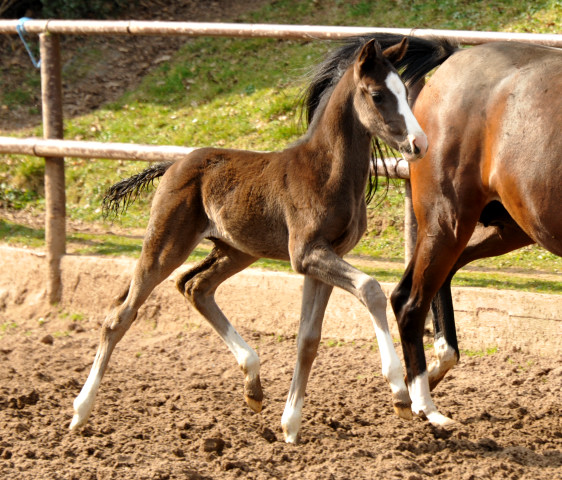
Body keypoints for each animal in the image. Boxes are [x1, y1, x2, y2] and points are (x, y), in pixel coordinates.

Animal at [69, 39, 424, 444]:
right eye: (378, 94)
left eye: (405, 92)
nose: (419, 143)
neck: (325, 171)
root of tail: (172, 164)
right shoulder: (307, 255)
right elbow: (371, 289)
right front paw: (399, 394)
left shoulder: (322, 260)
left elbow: (308, 339)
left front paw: (290, 425)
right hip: (165, 245)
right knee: (121, 314)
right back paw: (80, 412)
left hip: (235, 251)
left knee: (194, 286)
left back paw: (253, 383)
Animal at [306, 32, 560, 424]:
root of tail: (454, 58)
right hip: (449, 219)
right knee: (410, 302)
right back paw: (425, 403)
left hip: (503, 226)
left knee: (421, 285)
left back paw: (427, 378)